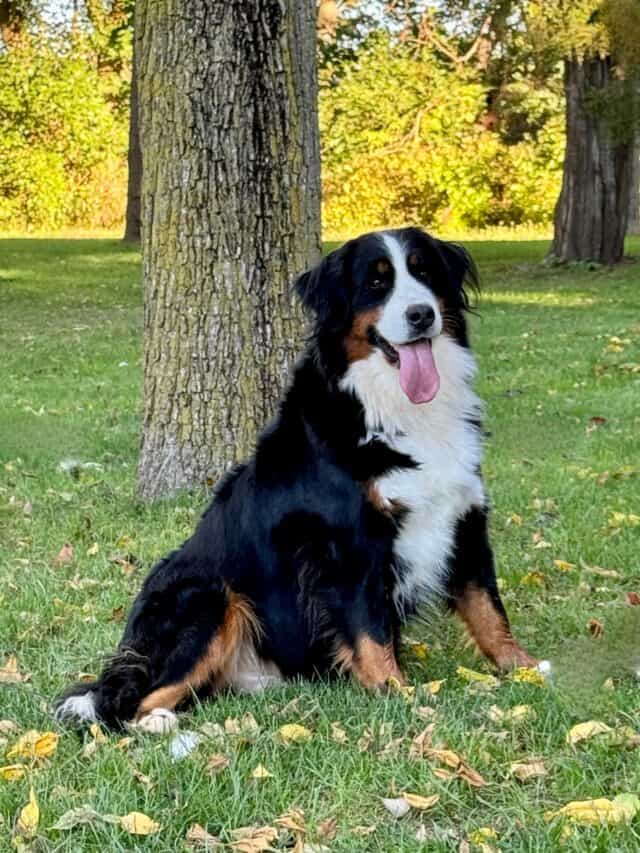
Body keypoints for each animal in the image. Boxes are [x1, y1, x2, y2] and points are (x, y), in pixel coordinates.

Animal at [56, 230, 544, 728]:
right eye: (376, 283)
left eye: (424, 271)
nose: (421, 314)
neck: (395, 409)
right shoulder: (350, 543)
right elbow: (370, 629)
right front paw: (397, 693)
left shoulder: (464, 520)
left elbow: (488, 607)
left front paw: (523, 668)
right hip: (210, 599)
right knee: (123, 705)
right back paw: (163, 725)